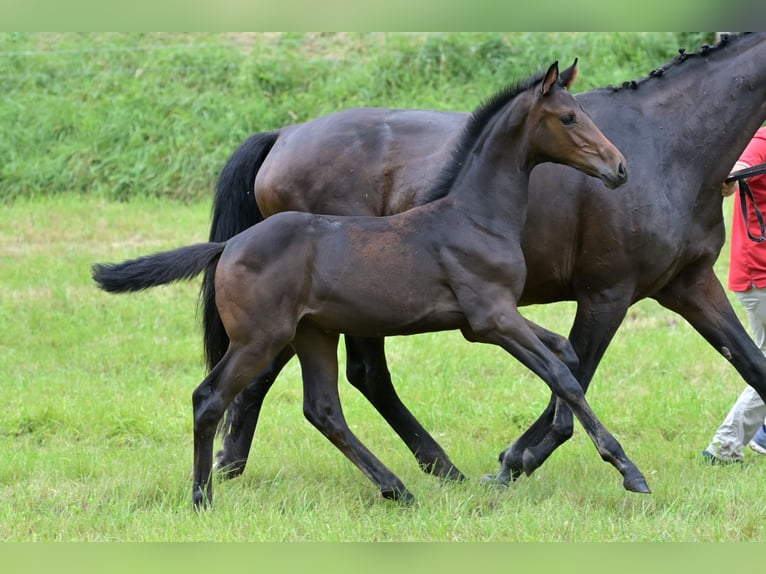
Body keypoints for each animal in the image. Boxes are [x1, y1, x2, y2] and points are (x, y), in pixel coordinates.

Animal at [94, 59, 636, 508]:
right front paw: (626, 467)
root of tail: (227, 246)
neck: (474, 216)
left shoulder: (497, 317)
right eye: (568, 118)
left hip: (312, 334)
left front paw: (533, 448)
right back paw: (203, 498)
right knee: (210, 398)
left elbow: (564, 355)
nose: (619, 168)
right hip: (259, 338)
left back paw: (396, 488)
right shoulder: (490, 319)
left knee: (323, 409)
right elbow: (562, 372)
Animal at [206, 33, 766, 488]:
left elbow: (752, 366)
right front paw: (519, 460)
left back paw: (234, 461)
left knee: (285, 372)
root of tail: (283, 136)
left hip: (325, 308)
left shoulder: (690, 285)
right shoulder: (606, 293)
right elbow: (573, 376)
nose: (617, 168)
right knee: (358, 374)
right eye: (568, 118)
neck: (667, 145)